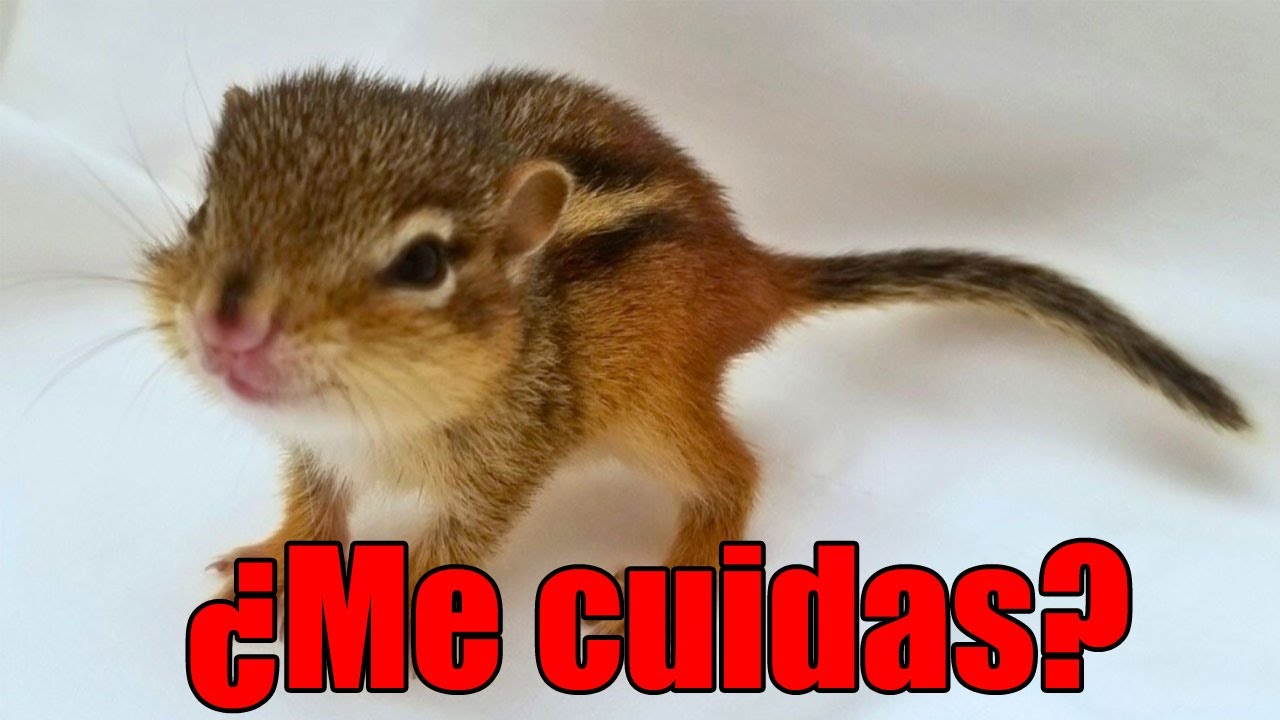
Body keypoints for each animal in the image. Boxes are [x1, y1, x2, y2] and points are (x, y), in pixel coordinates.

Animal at [143, 67, 1248, 608]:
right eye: (204, 209)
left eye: (420, 264)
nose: (228, 326)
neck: (372, 418)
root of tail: (744, 267)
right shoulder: (316, 453)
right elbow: (314, 511)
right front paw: (273, 565)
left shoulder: (507, 462)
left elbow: (453, 548)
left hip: (654, 414)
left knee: (732, 470)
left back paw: (679, 571)